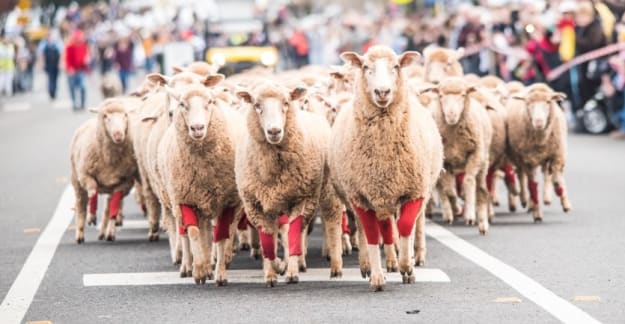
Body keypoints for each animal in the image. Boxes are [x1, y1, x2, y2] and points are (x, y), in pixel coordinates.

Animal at [70, 98, 139, 243]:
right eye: (106, 116)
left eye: (125, 115)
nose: (118, 134)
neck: (110, 160)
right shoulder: (86, 175)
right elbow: (93, 191)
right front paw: (91, 216)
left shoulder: (123, 183)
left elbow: (114, 206)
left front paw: (111, 232)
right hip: (76, 179)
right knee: (81, 205)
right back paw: (80, 233)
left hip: (110, 187)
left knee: (108, 207)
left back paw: (104, 232)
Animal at [235, 83, 344, 286]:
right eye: (256, 105)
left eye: (286, 103)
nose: (274, 131)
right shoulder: (256, 204)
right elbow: (268, 240)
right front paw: (272, 271)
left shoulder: (300, 199)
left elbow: (293, 235)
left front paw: (291, 273)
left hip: (326, 191)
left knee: (331, 223)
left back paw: (335, 267)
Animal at [332, 44, 444, 290]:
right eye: (366, 67)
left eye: (396, 66)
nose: (382, 92)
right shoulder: (361, 196)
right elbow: (373, 234)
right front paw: (377, 276)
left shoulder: (414, 190)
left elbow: (404, 227)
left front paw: (407, 266)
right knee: (369, 230)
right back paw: (368, 265)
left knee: (401, 227)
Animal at [420, 76, 492, 234]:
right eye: (440, 96)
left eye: (463, 95)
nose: (451, 115)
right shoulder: (445, 162)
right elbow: (449, 190)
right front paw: (457, 209)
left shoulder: (475, 155)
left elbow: (468, 181)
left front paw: (469, 216)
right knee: (444, 188)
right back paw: (449, 213)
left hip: (483, 162)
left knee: (481, 190)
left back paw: (483, 223)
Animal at [504, 82, 572, 221]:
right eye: (528, 103)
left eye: (548, 101)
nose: (539, 122)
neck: (541, 139)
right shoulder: (529, 161)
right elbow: (533, 186)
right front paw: (537, 214)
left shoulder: (557, 155)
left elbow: (557, 180)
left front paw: (562, 198)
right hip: (521, 160)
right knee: (524, 179)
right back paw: (526, 201)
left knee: (548, 174)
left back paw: (550, 199)